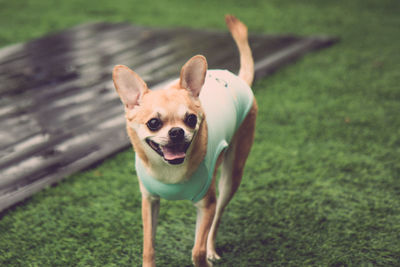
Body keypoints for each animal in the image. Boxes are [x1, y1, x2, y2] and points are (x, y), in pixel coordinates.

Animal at [111, 15, 256, 267]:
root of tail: (239, 79)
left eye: (190, 119)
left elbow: (196, 250)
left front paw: (203, 259)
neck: (169, 171)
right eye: (153, 123)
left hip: (231, 177)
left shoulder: (206, 205)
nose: (177, 131)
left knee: (216, 219)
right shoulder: (149, 201)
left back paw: (211, 249)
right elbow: (148, 247)